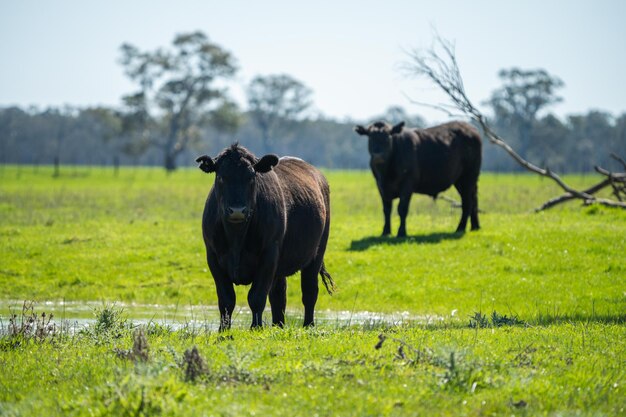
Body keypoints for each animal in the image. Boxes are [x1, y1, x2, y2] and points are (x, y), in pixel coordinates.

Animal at [195, 145, 334, 330]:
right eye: (221, 177)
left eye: (251, 177)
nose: (237, 210)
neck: (236, 237)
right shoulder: (213, 257)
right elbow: (226, 299)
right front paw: (223, 329)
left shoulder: (269, 255)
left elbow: (256, 296)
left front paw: (256, 327)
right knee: (279, 295)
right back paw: (278, 325)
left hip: (316, 254)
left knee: (309, 291)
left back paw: (308, 325)